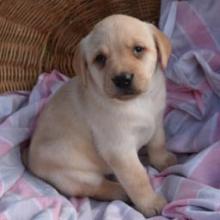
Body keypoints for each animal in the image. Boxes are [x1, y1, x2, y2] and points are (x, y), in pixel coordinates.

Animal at [25, 15, 177, 217]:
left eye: (138, 49)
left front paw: (163, 160)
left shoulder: (157, 122)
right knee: (94, 188)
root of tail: (29, 159)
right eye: (100, 59)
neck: (137, 102)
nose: (123, 79)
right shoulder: (119, 149)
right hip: (74, 173)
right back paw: (120, 191)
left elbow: (158, 144)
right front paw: (150, 203)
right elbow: (137, 178)